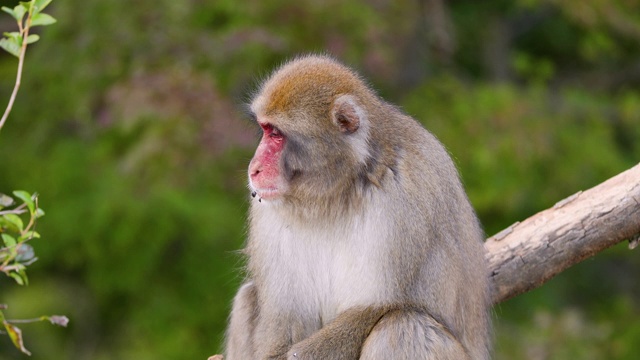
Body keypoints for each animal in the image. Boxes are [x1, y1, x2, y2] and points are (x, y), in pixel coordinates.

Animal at [224, 54, 490, 358]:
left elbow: (377, 307)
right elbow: (284, 316)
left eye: (277, 134)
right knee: (248, 295)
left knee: (405, 325)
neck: (334, 192)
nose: (254, 168)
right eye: (265, 130)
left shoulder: (406, 195)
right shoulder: (268, 211)